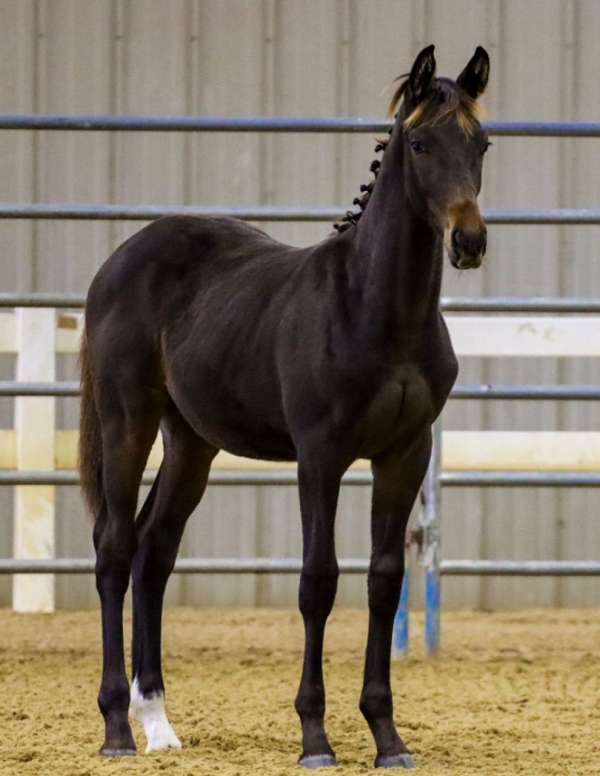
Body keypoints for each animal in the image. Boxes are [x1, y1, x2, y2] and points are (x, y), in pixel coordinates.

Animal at [79, 44, 490, 769]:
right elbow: (317, 581)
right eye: (419, 143)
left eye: (482, 144)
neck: (376, 310)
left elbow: (383, 580)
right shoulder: (319, 457)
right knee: (115, 549)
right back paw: (119, 730)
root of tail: (121, 259)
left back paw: (159, 723)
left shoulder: (403, 455)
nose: (468, 241)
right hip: (127, 420)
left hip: (191, 441)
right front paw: (315, 738)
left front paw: (388, 738)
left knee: (156, 550)